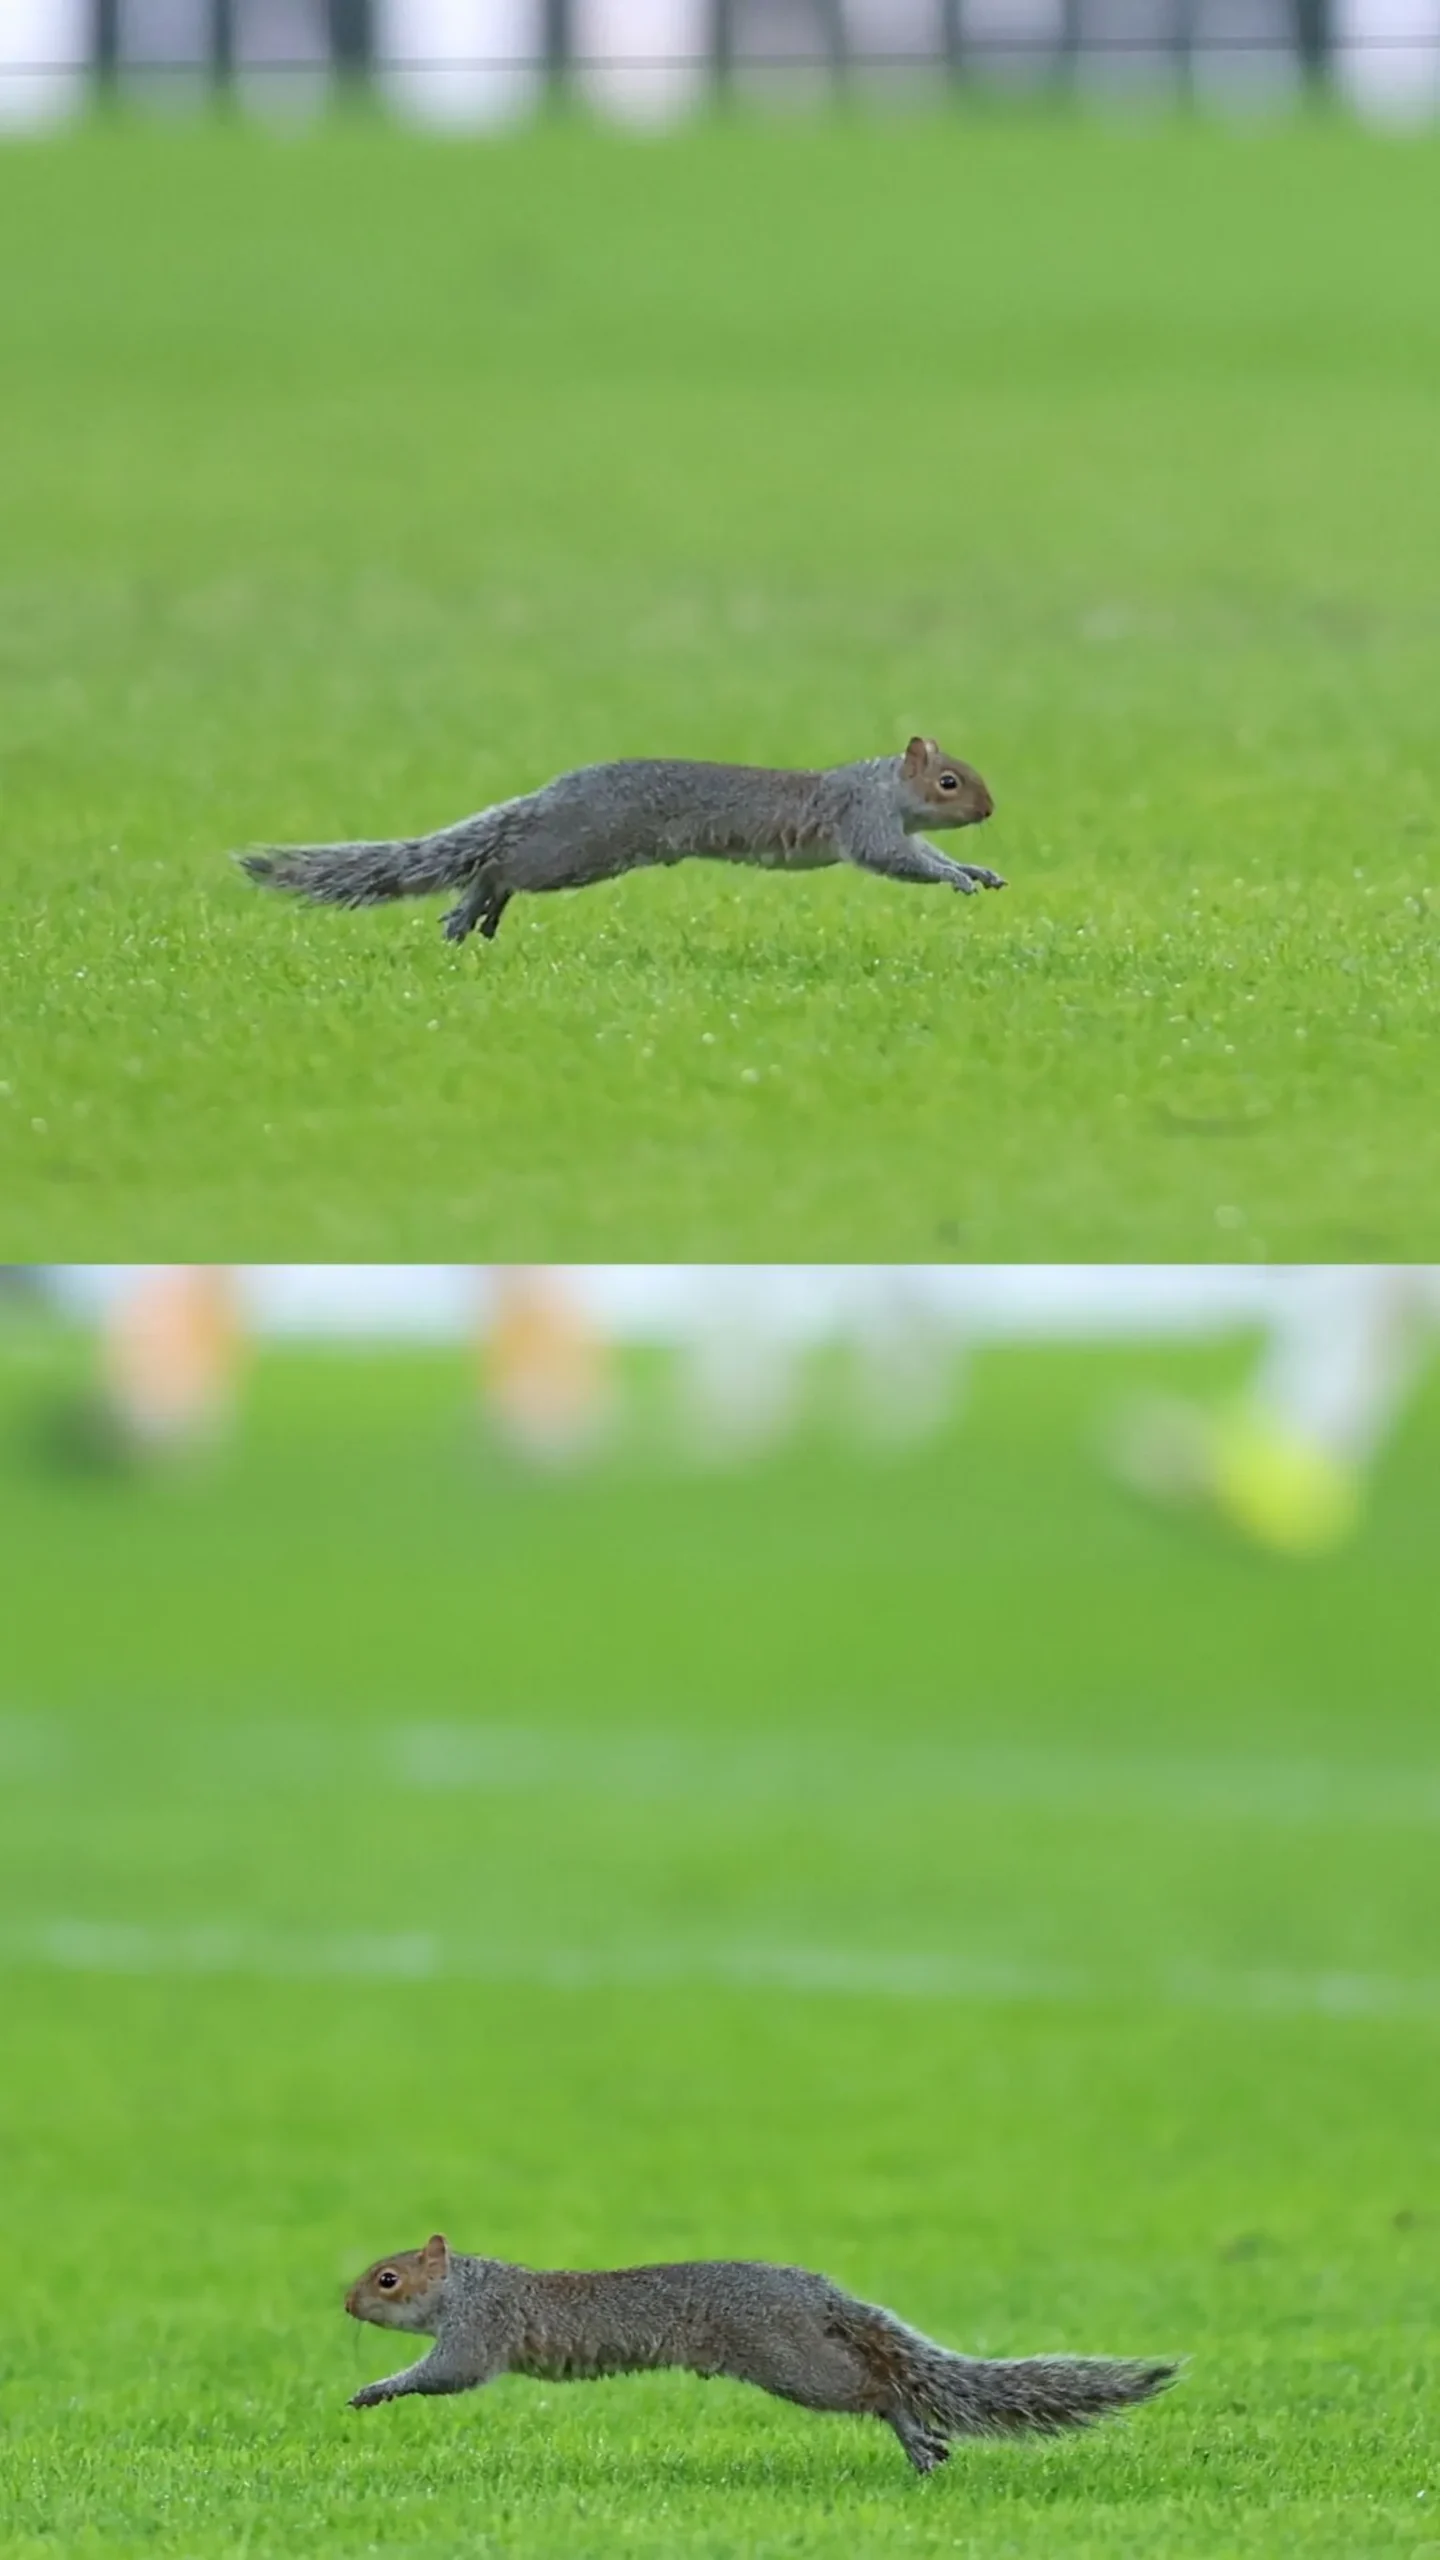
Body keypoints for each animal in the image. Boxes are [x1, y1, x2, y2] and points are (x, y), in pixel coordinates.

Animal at [239, 736, 1001, 946]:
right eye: (950, 782)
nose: (991, 809)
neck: (882, 785)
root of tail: (554, 794)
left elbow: (930, 854)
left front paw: (977, 869)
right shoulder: (864, 821)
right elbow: (902, 862)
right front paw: (959, 878)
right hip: (575, 851)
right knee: (500, 864)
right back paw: (470, 909)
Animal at [344, 2234, 1175, 2475]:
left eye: (387, 2278)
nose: (345, 2305)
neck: (469, 2285)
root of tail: (817, 2293)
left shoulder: (476, 2334)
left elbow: (442, 2376)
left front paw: (374, 2389)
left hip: (795, 2364)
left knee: (878, 2389)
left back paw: (914, 2436)